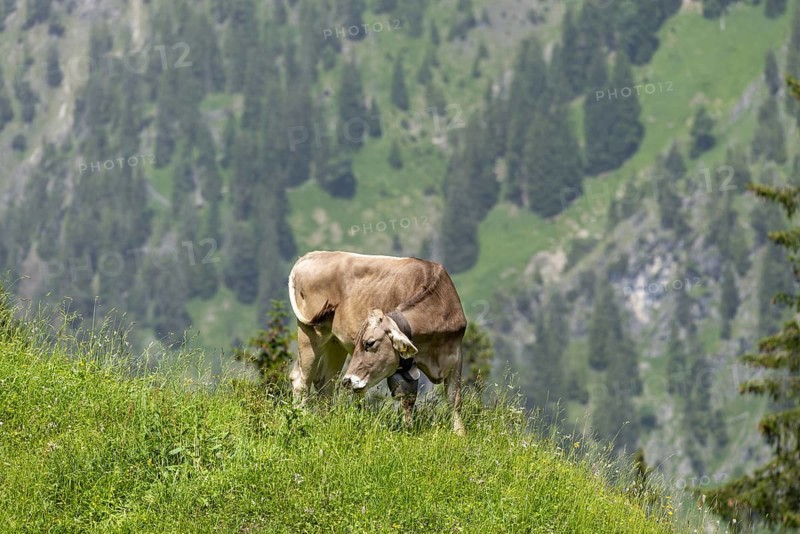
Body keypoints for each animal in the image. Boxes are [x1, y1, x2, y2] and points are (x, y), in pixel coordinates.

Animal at [287, 251, 467, 434]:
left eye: (369, 343)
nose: (348, 380)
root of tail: (311, 255)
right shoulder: (401, 367)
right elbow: (407, 398)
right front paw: (408, 430)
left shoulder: (456, 356)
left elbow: (454, 399)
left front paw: (459, 433)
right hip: (310, 334)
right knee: (301, 380)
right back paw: (301, 419)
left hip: (334, 342)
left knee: (324, 381)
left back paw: (325, 421)